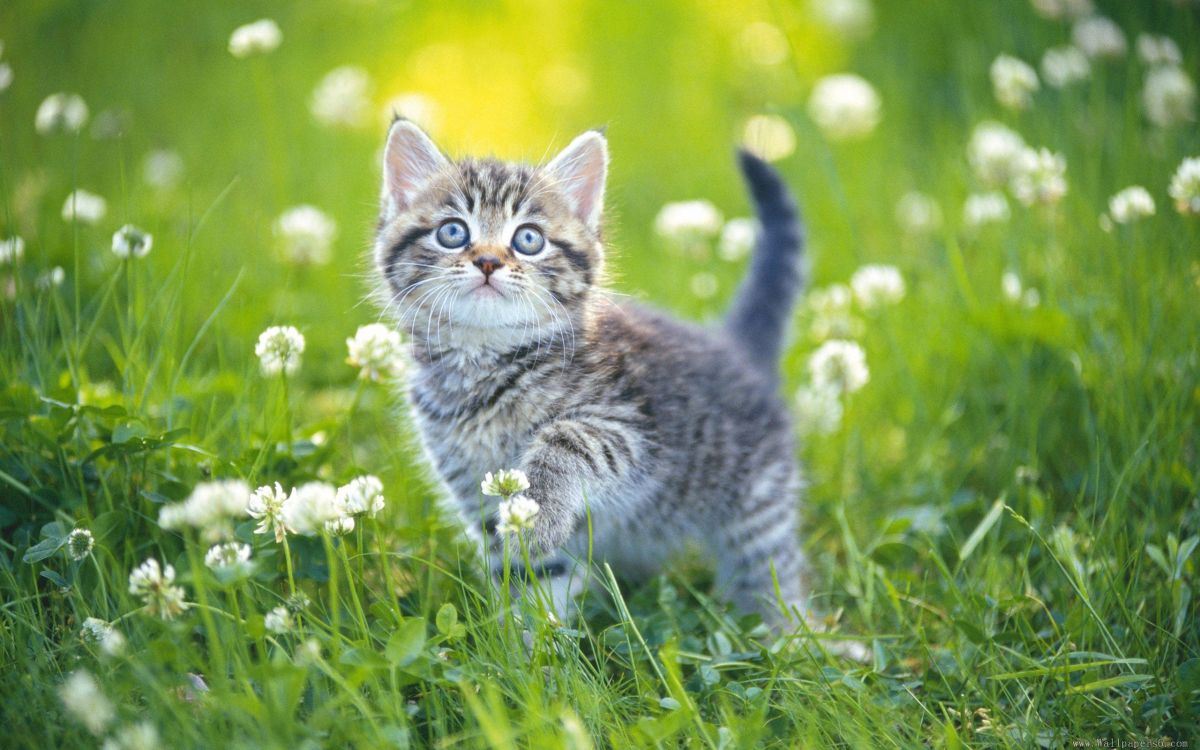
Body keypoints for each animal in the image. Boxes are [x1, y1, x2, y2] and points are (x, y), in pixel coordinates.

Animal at [372, 120, 806, 624]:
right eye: (453, 232)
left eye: (528, 239)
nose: (488, 261)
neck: (482, 362)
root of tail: (735, 346)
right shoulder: (472, 489)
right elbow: (531, 575)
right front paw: (527, 640)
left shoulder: (633, 425)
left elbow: (569, 438)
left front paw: (537, 513)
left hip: (758, 501)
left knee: (772, 570)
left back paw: (791, 634)